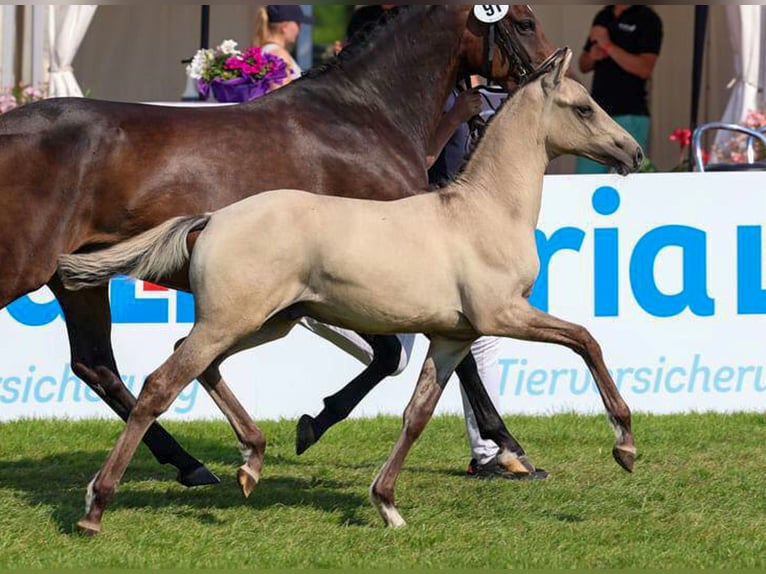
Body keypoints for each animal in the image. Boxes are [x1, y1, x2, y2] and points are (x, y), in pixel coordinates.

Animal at [0, 6, 552, 486]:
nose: (551, 73)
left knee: (95, 364)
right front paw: (508, 446)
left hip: (76, 278)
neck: (364, 118)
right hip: (23, 267)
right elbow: (427, 358)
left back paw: (190, 465)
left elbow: (403, 355)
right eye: (525, 21)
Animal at [58, 49, 640, 536]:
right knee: (161, 384)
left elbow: (417, 415)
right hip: (231, 321)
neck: (483, 212)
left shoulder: (452, 337)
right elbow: (586, 340)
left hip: (266, 322)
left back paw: (251, 462)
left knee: (199, 363)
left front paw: (386, 503)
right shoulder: (504, 314)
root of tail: (212, 218)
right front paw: (625, 446)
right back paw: (97, 506)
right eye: (584, 108)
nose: (632, 152)